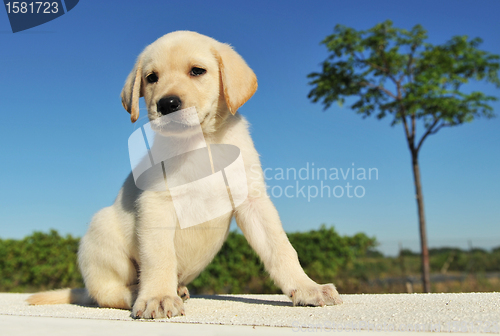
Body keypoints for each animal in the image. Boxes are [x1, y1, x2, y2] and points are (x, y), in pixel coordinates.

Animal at [26, 30, 340, 318]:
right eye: (151, 77)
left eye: (197, 71)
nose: (167, 104)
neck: (202, 145)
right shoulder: (156, 203)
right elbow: (159, 257)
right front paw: (156, 297)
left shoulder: (252, 200)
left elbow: (282, 249)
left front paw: (307, 287)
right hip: (101, 228)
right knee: (105, 292)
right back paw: (138, 293)